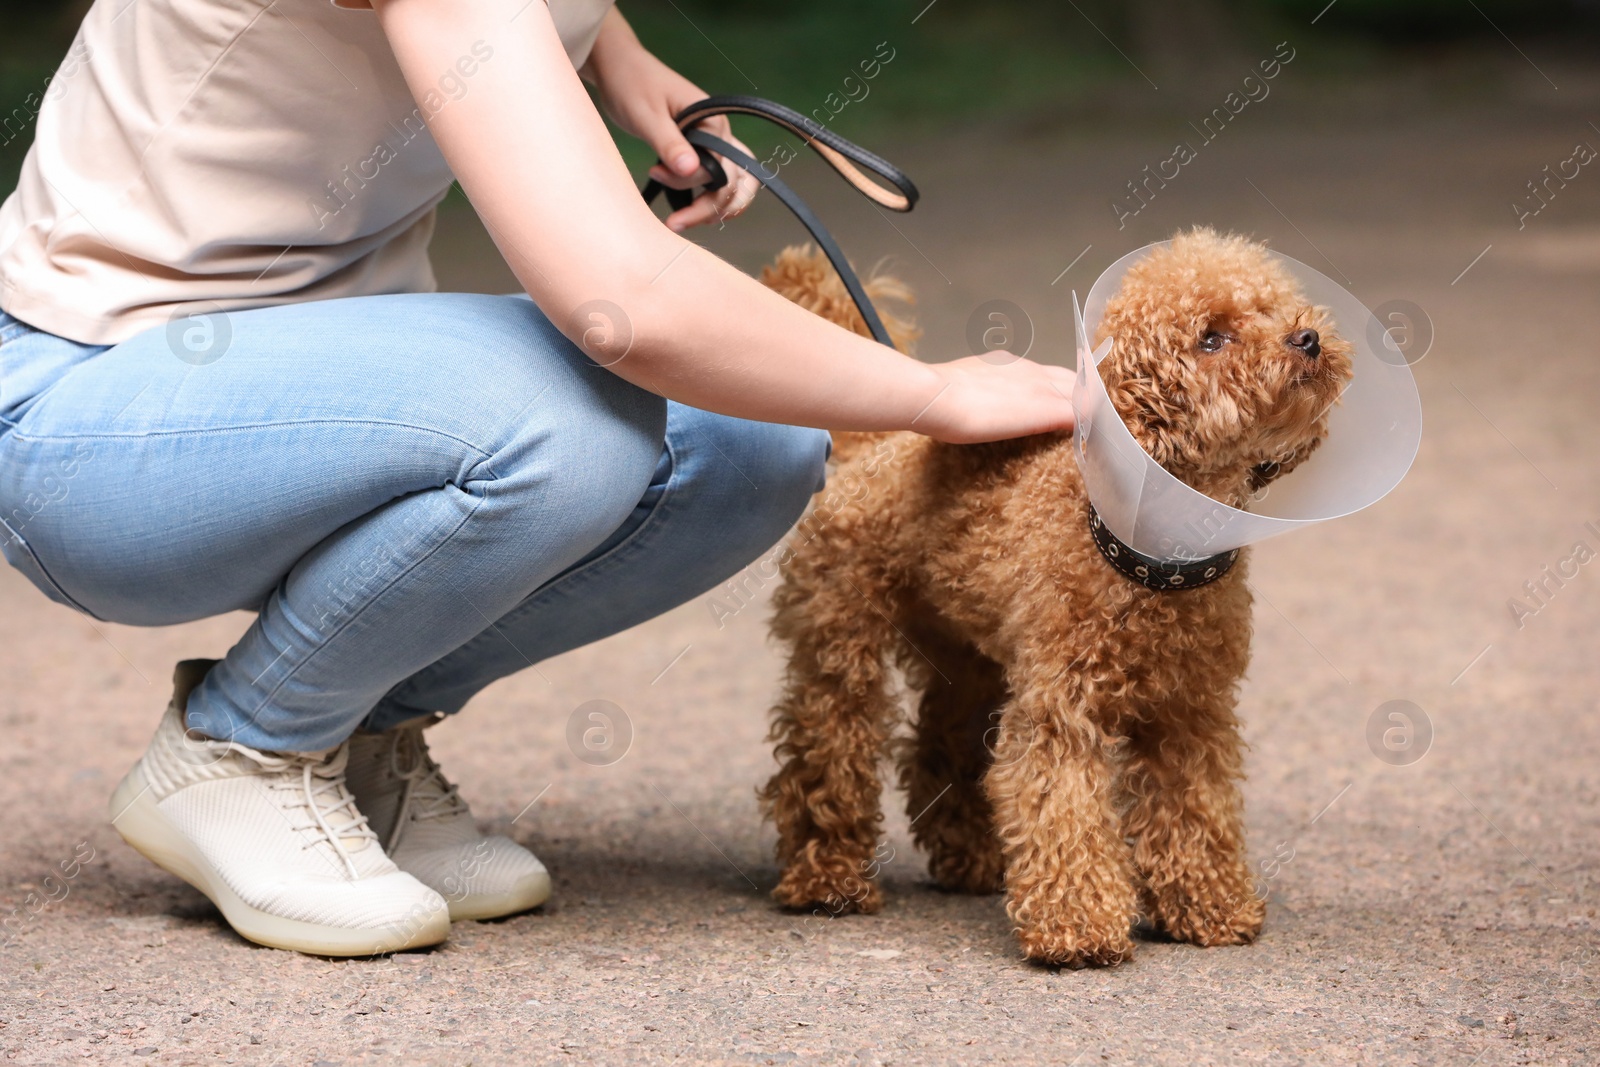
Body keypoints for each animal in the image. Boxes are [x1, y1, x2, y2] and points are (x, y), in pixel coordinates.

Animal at [758, 231, 1350, 966]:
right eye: (1211, 338)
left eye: (1271, 307)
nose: (1307, 337)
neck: (1150, 561)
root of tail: (877, 446)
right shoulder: (1062, 710)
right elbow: (1061, 806)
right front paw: (1079, 928)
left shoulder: (1191, 714)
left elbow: (1195, 810)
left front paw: (1210, 907)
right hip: (842, 640)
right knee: (827, 747)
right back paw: (827, 879)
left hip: (969, 656)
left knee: (945, 746)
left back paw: (971, 861)